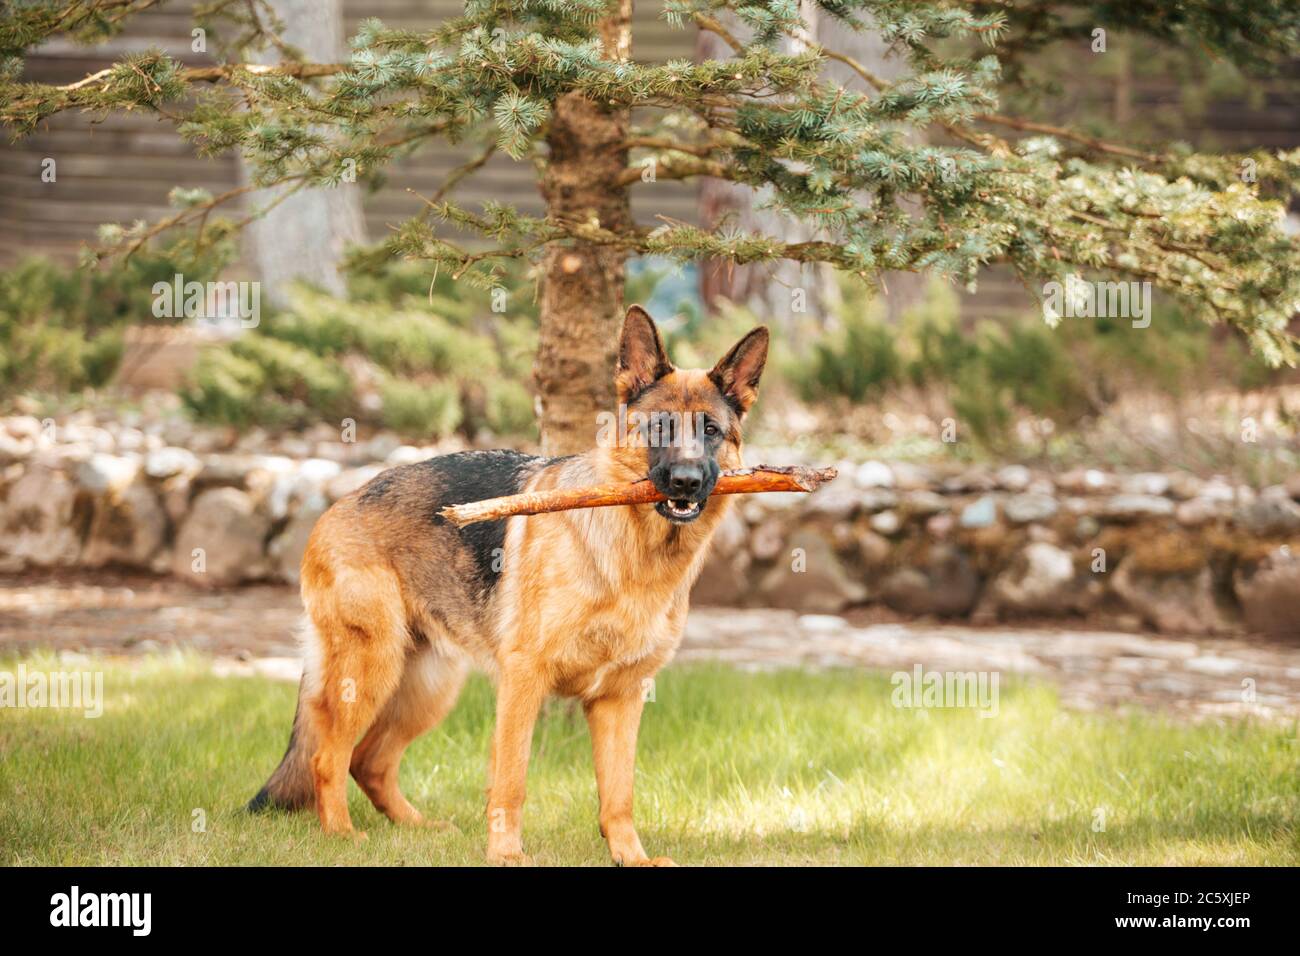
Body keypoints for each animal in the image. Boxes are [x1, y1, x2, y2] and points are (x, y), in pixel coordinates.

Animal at [248, 308, 764, 868]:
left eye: (710, 430)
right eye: (660, 427)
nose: (687, 482)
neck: (633, 554)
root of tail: (339, 502)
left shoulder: (620, 700)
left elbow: (618, 795)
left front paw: (632, 857)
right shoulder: (523, 681)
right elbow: (511, 780)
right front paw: (506, 854)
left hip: (429, 687)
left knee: (369, 761)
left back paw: (418, 830)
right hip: (370, 670)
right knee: (328, 756)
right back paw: (342, 835)